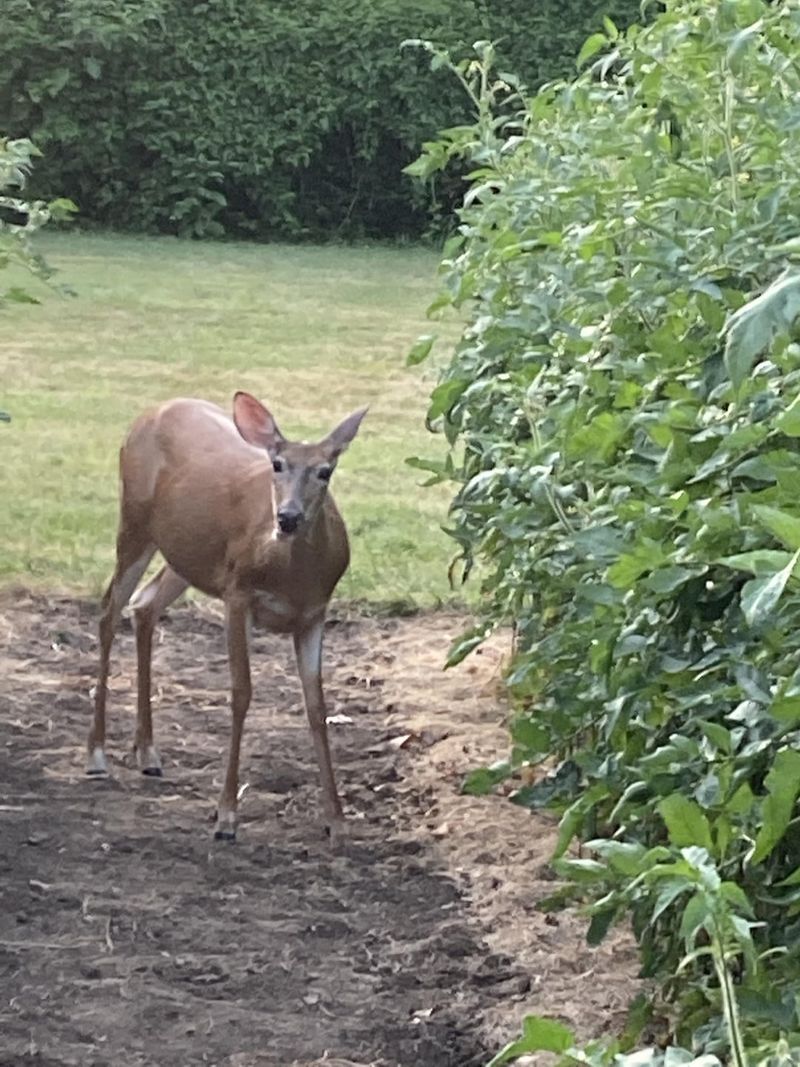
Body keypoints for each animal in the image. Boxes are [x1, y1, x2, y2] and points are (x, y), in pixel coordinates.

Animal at [86, 392, 369, 840]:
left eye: (325, 471)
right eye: (277, 464)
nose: (288, 518)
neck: (290, 576)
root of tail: (153, 411)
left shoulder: (314, 613)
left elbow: (317, 706)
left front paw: (337, 820)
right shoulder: (238, 594)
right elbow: (241, 693)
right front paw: (226, 815)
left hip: (186, 555)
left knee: (145, 605)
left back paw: (148, 752)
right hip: (133, 520)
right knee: (109, 609)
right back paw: (96, 755)